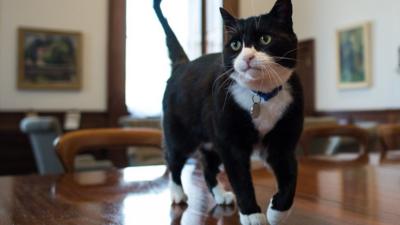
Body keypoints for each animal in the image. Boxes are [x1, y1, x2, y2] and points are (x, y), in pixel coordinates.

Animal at [153, 0, 304, 224]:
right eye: (235, 45)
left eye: (265, 39)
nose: (248, 56)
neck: (261, 95)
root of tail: (183, 65)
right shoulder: (231, 144)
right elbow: (241, 179)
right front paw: (252, 213)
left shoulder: (283, 141)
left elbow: (290, 177)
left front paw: (277, 212)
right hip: (180, 134)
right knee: (174, 161)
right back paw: (178, 193)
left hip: (211, 141)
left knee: (208, 168)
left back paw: (220, 195)